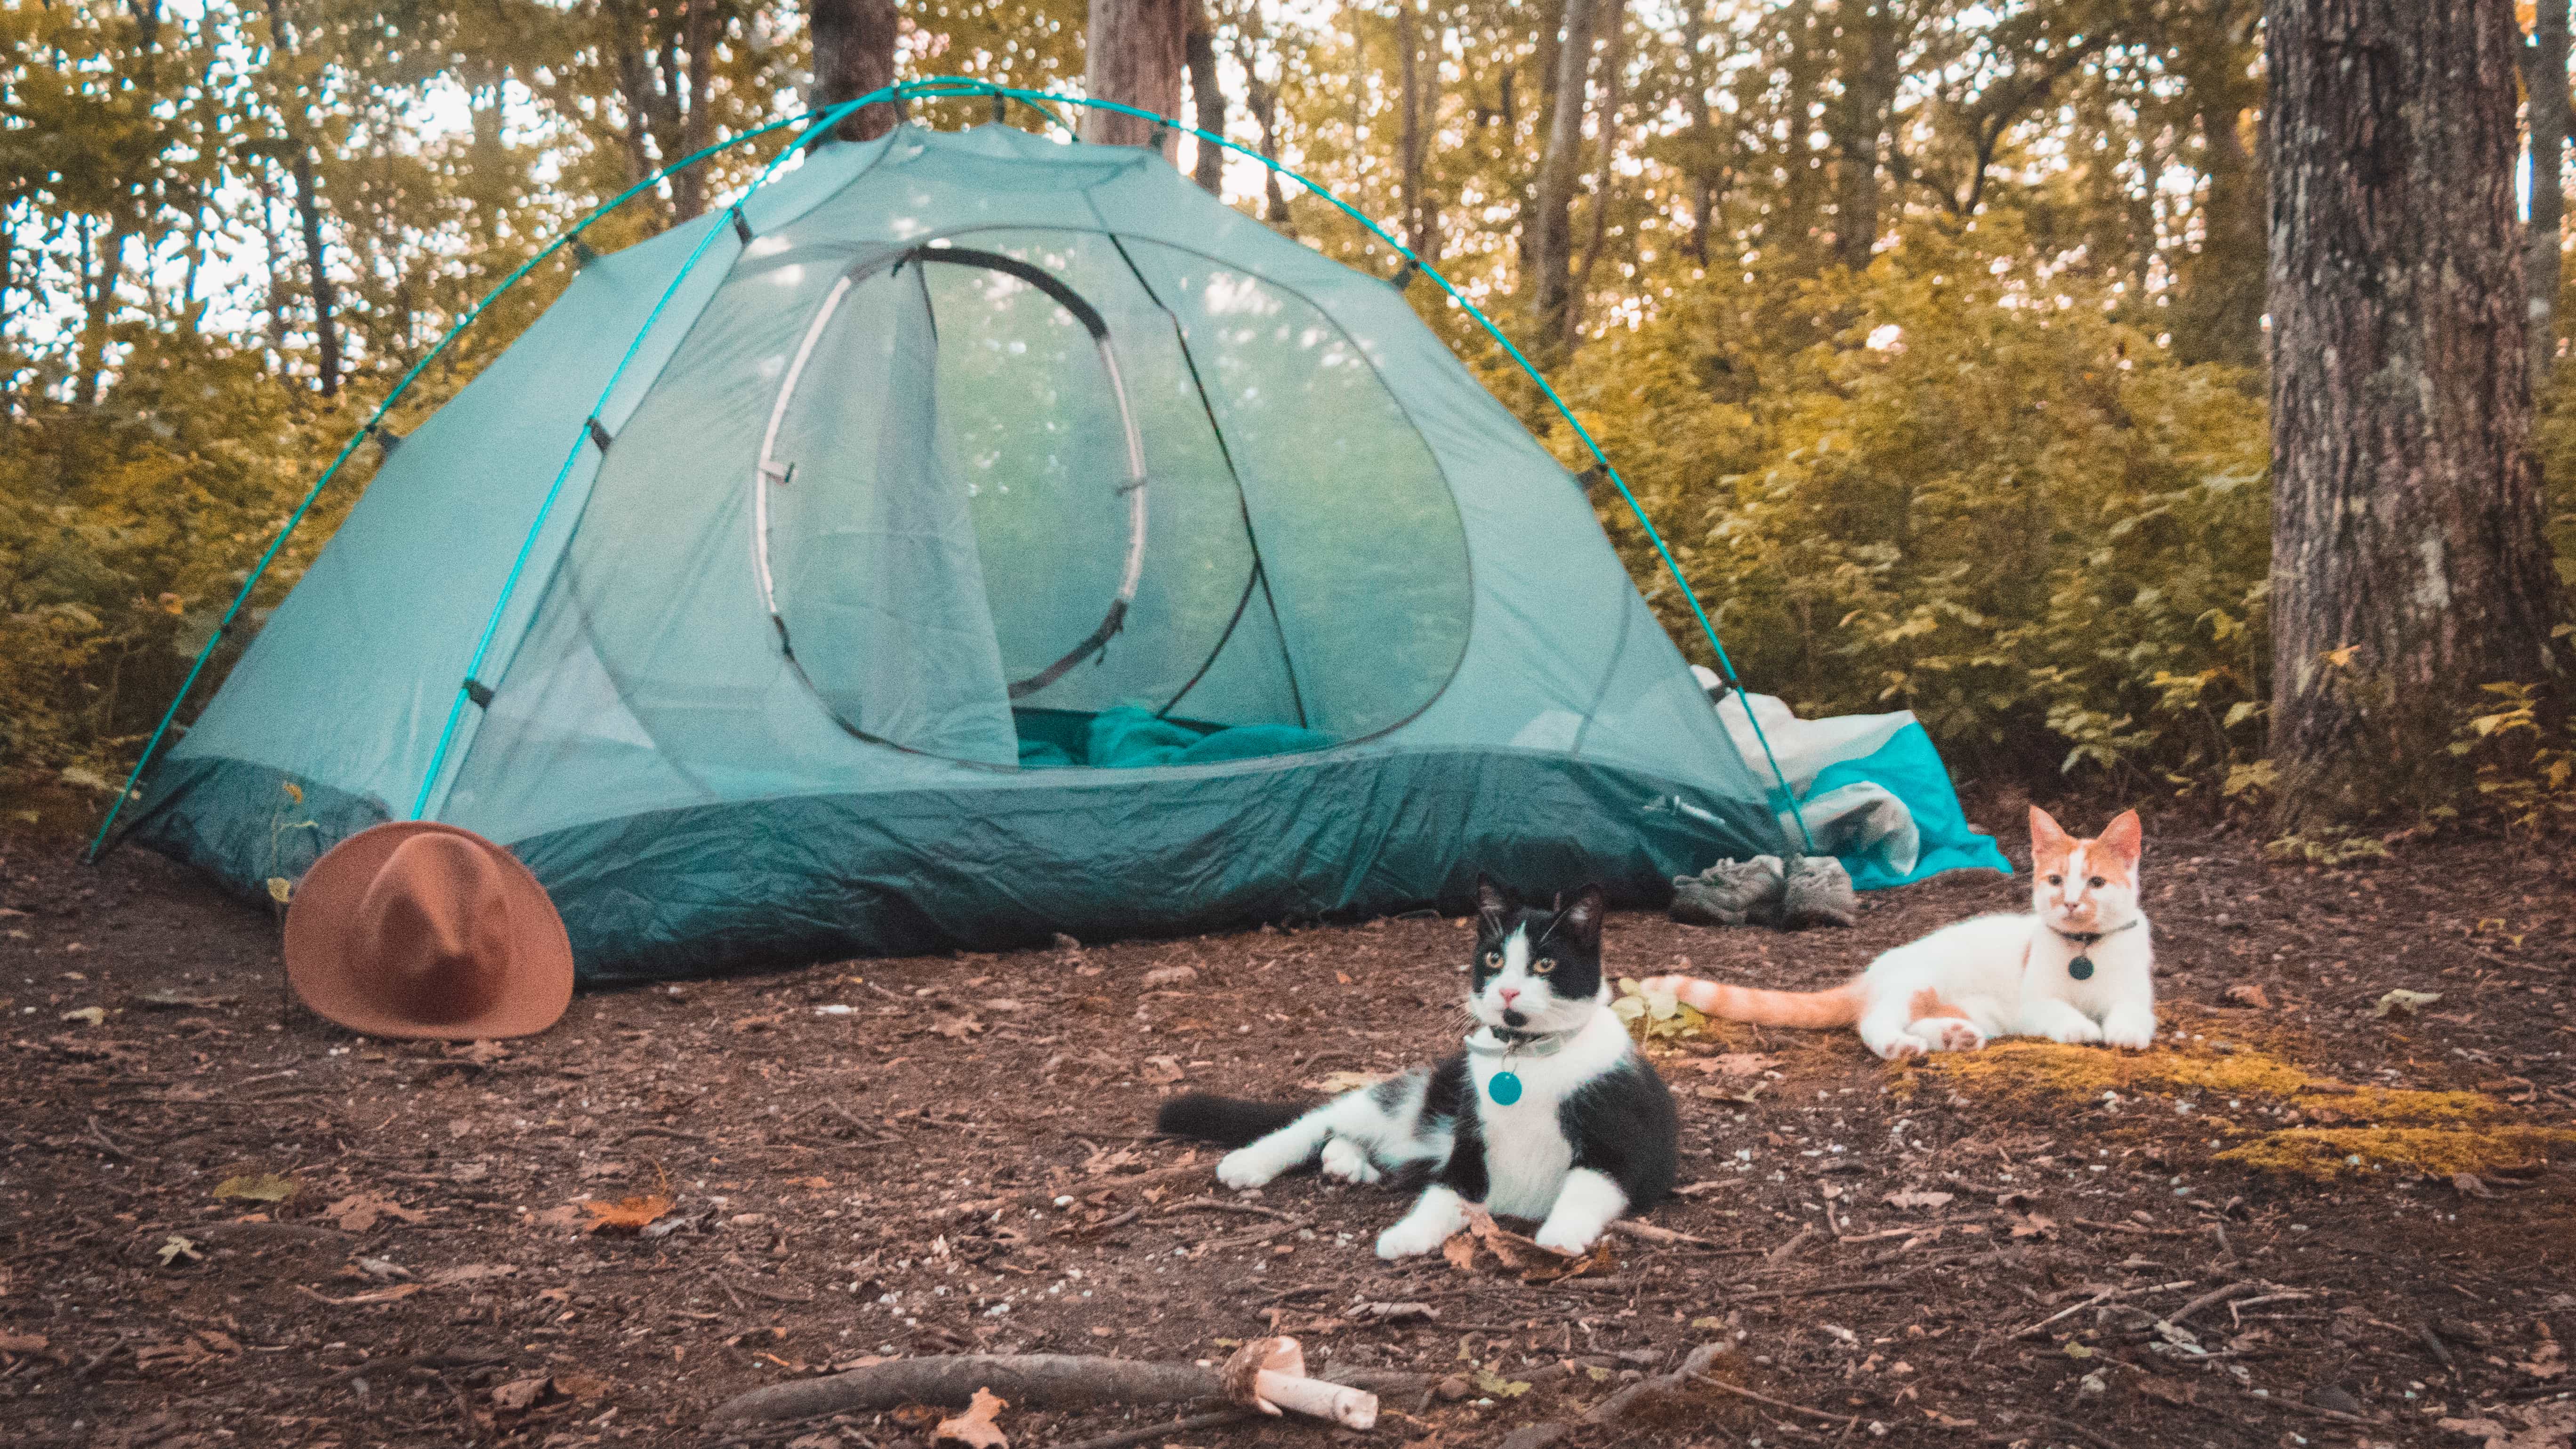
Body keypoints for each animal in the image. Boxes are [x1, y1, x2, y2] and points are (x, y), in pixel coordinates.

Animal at [1159, 866, 1679, 1253]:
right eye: (1494, 960)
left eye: (1545, 964)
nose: (1508, 991)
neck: (1526, 1057)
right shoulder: (1471, 1145)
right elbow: (1445, 1194)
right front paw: (1406, 1235)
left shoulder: (1629, 1146)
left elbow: (1591, 1185)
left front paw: (1561, 1233)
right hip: (1416, 1097)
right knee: (1320, 1119)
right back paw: (1253, 1161)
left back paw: (1346, 1161)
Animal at [1649, 804, 2153, 1057]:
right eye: (2054, 881)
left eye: (2096, 883)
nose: (2070, 903)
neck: (2085, 948)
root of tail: (1871, 974)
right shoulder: (2036, 1003)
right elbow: (2059, 1011)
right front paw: (2080, 1028)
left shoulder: (2135, 996)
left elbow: (2133, 1013)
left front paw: (2126, 1032)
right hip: (1916, 984)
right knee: (1874, 1022)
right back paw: (1898, 1045)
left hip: (1974, 1009)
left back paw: (1952, 1037)